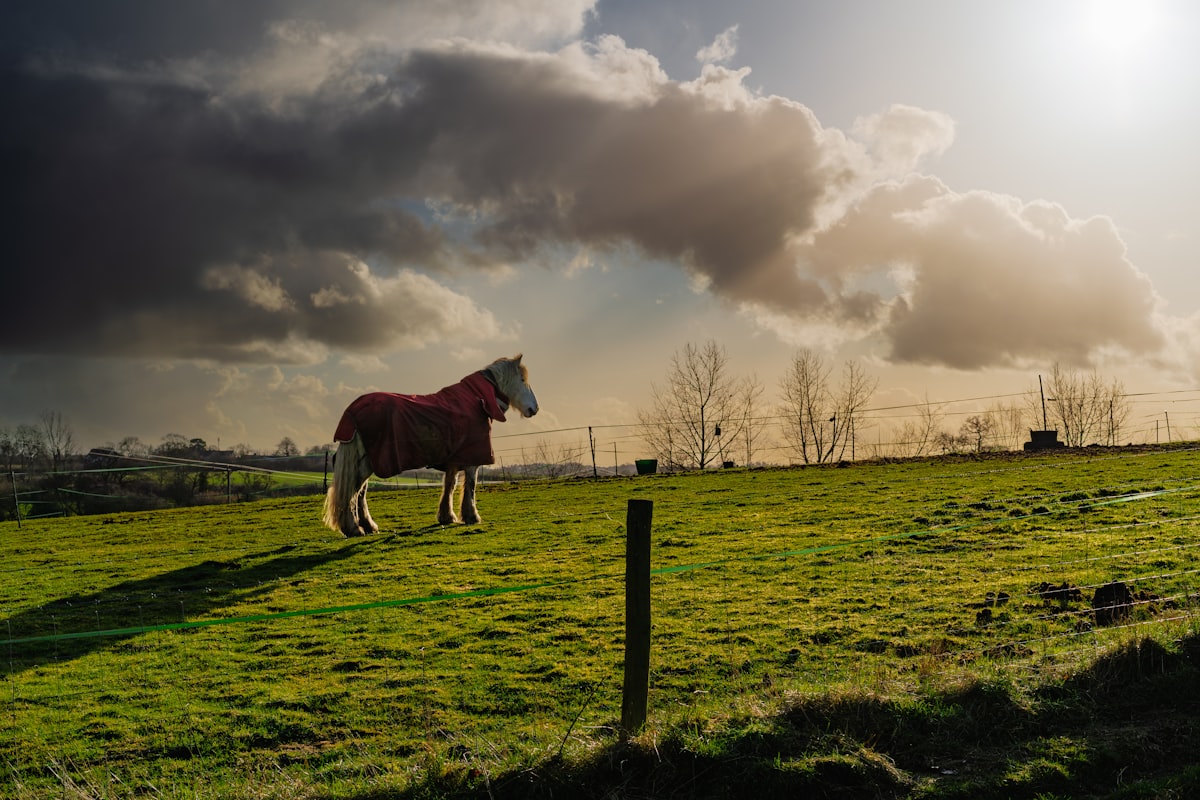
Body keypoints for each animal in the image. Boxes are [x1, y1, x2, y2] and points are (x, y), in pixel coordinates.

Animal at [322, 355, 538, 537]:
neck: (477, 400)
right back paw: (353, 528)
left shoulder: (454, 460)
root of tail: (352, 412)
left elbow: (449, 485)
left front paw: (447, 517)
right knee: (352, 492)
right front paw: (471, 516)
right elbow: (470, 486)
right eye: (522, 380)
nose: (534, 409)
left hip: (367, 463)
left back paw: (368, 526)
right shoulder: (471, 460)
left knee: (360, 493)